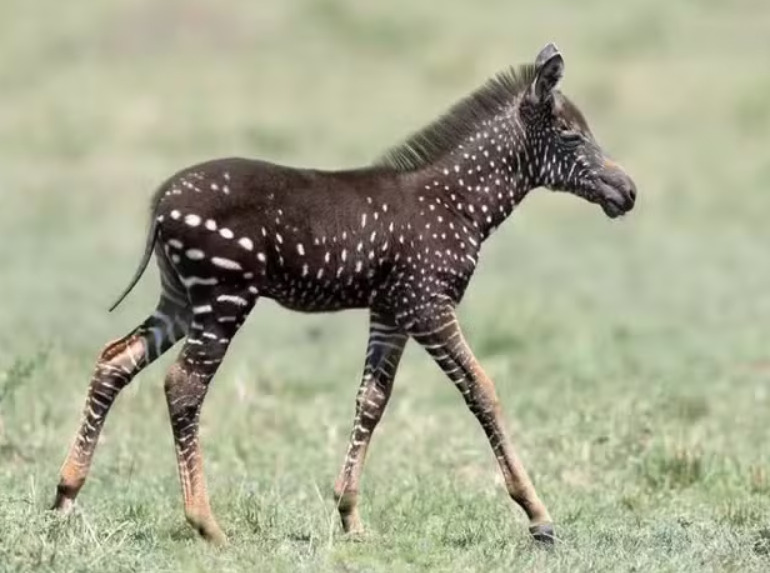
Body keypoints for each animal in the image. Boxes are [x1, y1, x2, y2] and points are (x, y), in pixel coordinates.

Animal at [52, 43, 636, 545]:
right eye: (571, 136)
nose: (628, 192)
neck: (457, 203)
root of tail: (160, 203)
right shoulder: (428, 304)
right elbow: (482, 390)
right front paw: (538, 515)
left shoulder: (391, 310)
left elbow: (371, 401)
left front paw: (350, 516)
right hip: (223, 298)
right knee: (183, 386)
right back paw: (206, 524)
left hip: (180, 300)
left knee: (114, 360)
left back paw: (64, 497)